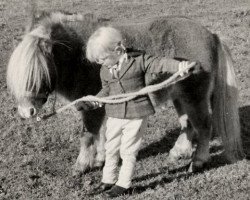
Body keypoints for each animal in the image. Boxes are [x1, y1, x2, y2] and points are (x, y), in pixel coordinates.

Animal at [6, 10, 245, 173]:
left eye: (40, 73)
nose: (26, 112)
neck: (79, 56)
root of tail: (211, 35)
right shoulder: (100, 104)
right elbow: (101, 134)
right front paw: (100, 159)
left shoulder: (91, 107)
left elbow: (88, 135)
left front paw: (82, 165)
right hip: (180, 97)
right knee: (188, 125)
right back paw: (178, 152)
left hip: (194, 96)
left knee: (203, 126)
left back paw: (198, 161)